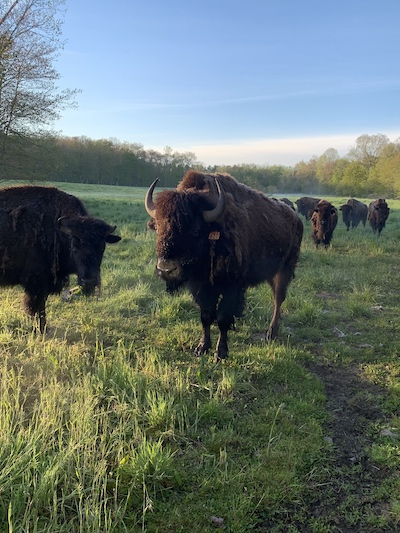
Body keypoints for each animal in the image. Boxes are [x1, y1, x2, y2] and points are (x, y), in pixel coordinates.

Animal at [0, 185, 120, 330]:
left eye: (102, 247)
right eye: (73, 246)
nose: (89, 281)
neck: (58, 232)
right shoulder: (36, 283)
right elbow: (37, 308)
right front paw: (41, 329)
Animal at [145, 170, 304, 362]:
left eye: (195, 230)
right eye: (158, 227)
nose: (166, 269)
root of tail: (296, 218)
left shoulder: (231, 287)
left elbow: (222, 318)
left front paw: (220, 353)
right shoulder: (200, 287)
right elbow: (206, 316)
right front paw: (202, 347)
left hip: (284, 270)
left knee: (278, 299)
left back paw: (271, 334)